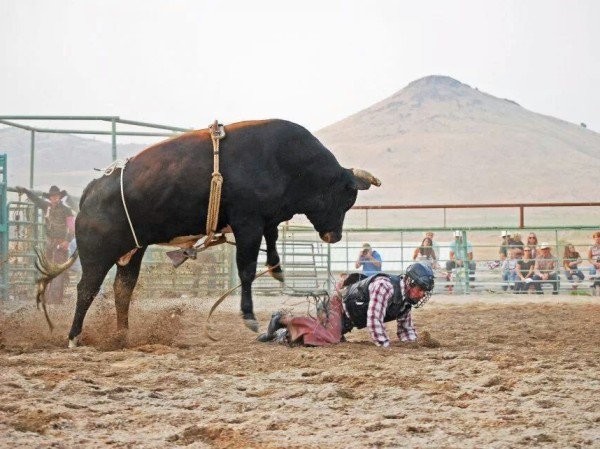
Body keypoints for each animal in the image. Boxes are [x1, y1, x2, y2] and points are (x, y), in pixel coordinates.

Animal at [36, 119, 380, 346]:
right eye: (346, 196)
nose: (334, 236)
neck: (286, 162)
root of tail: (91, 192)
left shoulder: (264, 218)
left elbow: (272, 240)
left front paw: (277, 269)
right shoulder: (247, 222)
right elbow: (246, 268)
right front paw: (249, 316)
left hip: (132, 250)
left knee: (123, 288)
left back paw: (122, 335)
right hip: (98, 254)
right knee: (86, 289)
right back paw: (74, 337)